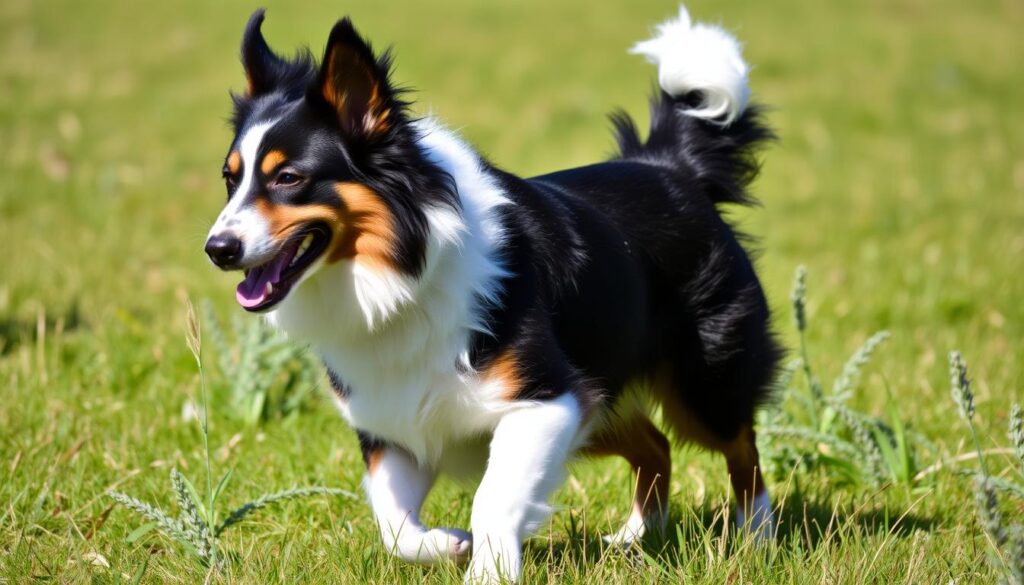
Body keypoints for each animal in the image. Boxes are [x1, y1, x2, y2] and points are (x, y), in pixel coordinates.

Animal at [203, 3, 778, 581]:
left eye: (289, 178)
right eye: (230, 179)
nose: (217, 249)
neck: (402, 278)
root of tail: (669, 166)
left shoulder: (545, 399)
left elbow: (493, 499)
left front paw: (489, 571)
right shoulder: (395, 424)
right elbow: (394, 526)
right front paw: (449, 544)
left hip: (702, 384)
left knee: (741, 450)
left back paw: (757, 539)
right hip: (600, 395)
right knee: (656, 448)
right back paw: (635, 541)